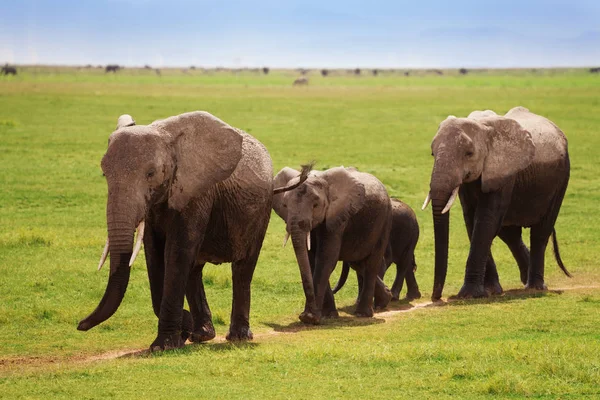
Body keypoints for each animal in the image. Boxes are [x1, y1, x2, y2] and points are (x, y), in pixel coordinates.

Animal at [77, 110, 298, 350]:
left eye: (151, 173)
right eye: (104, 174)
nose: (80, 325)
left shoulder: (197, 192)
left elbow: (177, 252)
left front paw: (163, 346)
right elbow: (154, 255)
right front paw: (182, 333)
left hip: (261, 210)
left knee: (242, 268)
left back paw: (237, 337)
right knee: (194, 270)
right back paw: (201, 335)